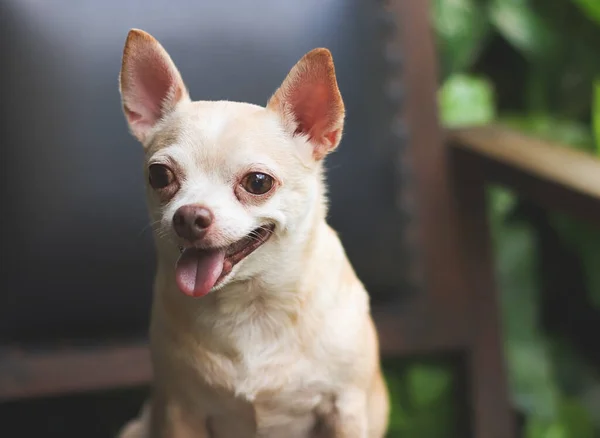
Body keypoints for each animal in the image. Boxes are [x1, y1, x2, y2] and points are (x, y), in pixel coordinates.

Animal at [116, 29, 390, 436]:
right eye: (159, 176)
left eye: (258, 182)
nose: (188, 217)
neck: (251, 307)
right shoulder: (180, 411)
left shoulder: (345, 409)